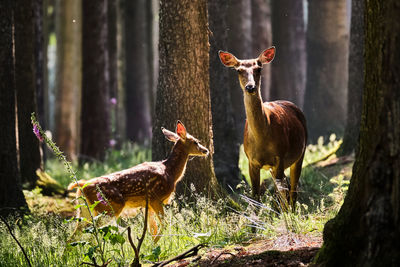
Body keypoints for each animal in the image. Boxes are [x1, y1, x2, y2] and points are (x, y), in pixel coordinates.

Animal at [68, 122, 209, 243]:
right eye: (196, 141)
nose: (206, 150)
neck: (170, 172)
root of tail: (82, 186)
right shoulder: (155, 198)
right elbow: (163, 225)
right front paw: (154, 244)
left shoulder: (148, 205)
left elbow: (152, 228)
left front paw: (152, 246)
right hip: (109, 207)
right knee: (92, 232)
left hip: (86, 210)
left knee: (75, 234)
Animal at [219, 47, 306, 210]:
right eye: (238, 70)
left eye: (259, 68)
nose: (250, 87)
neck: (262, 139)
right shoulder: (251, 161)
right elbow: (255, 195)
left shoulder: (280, 156)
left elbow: (279, 194)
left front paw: (282, 215)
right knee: (287, 187)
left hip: (300, 153)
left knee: (292, 189)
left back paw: (291, 210)